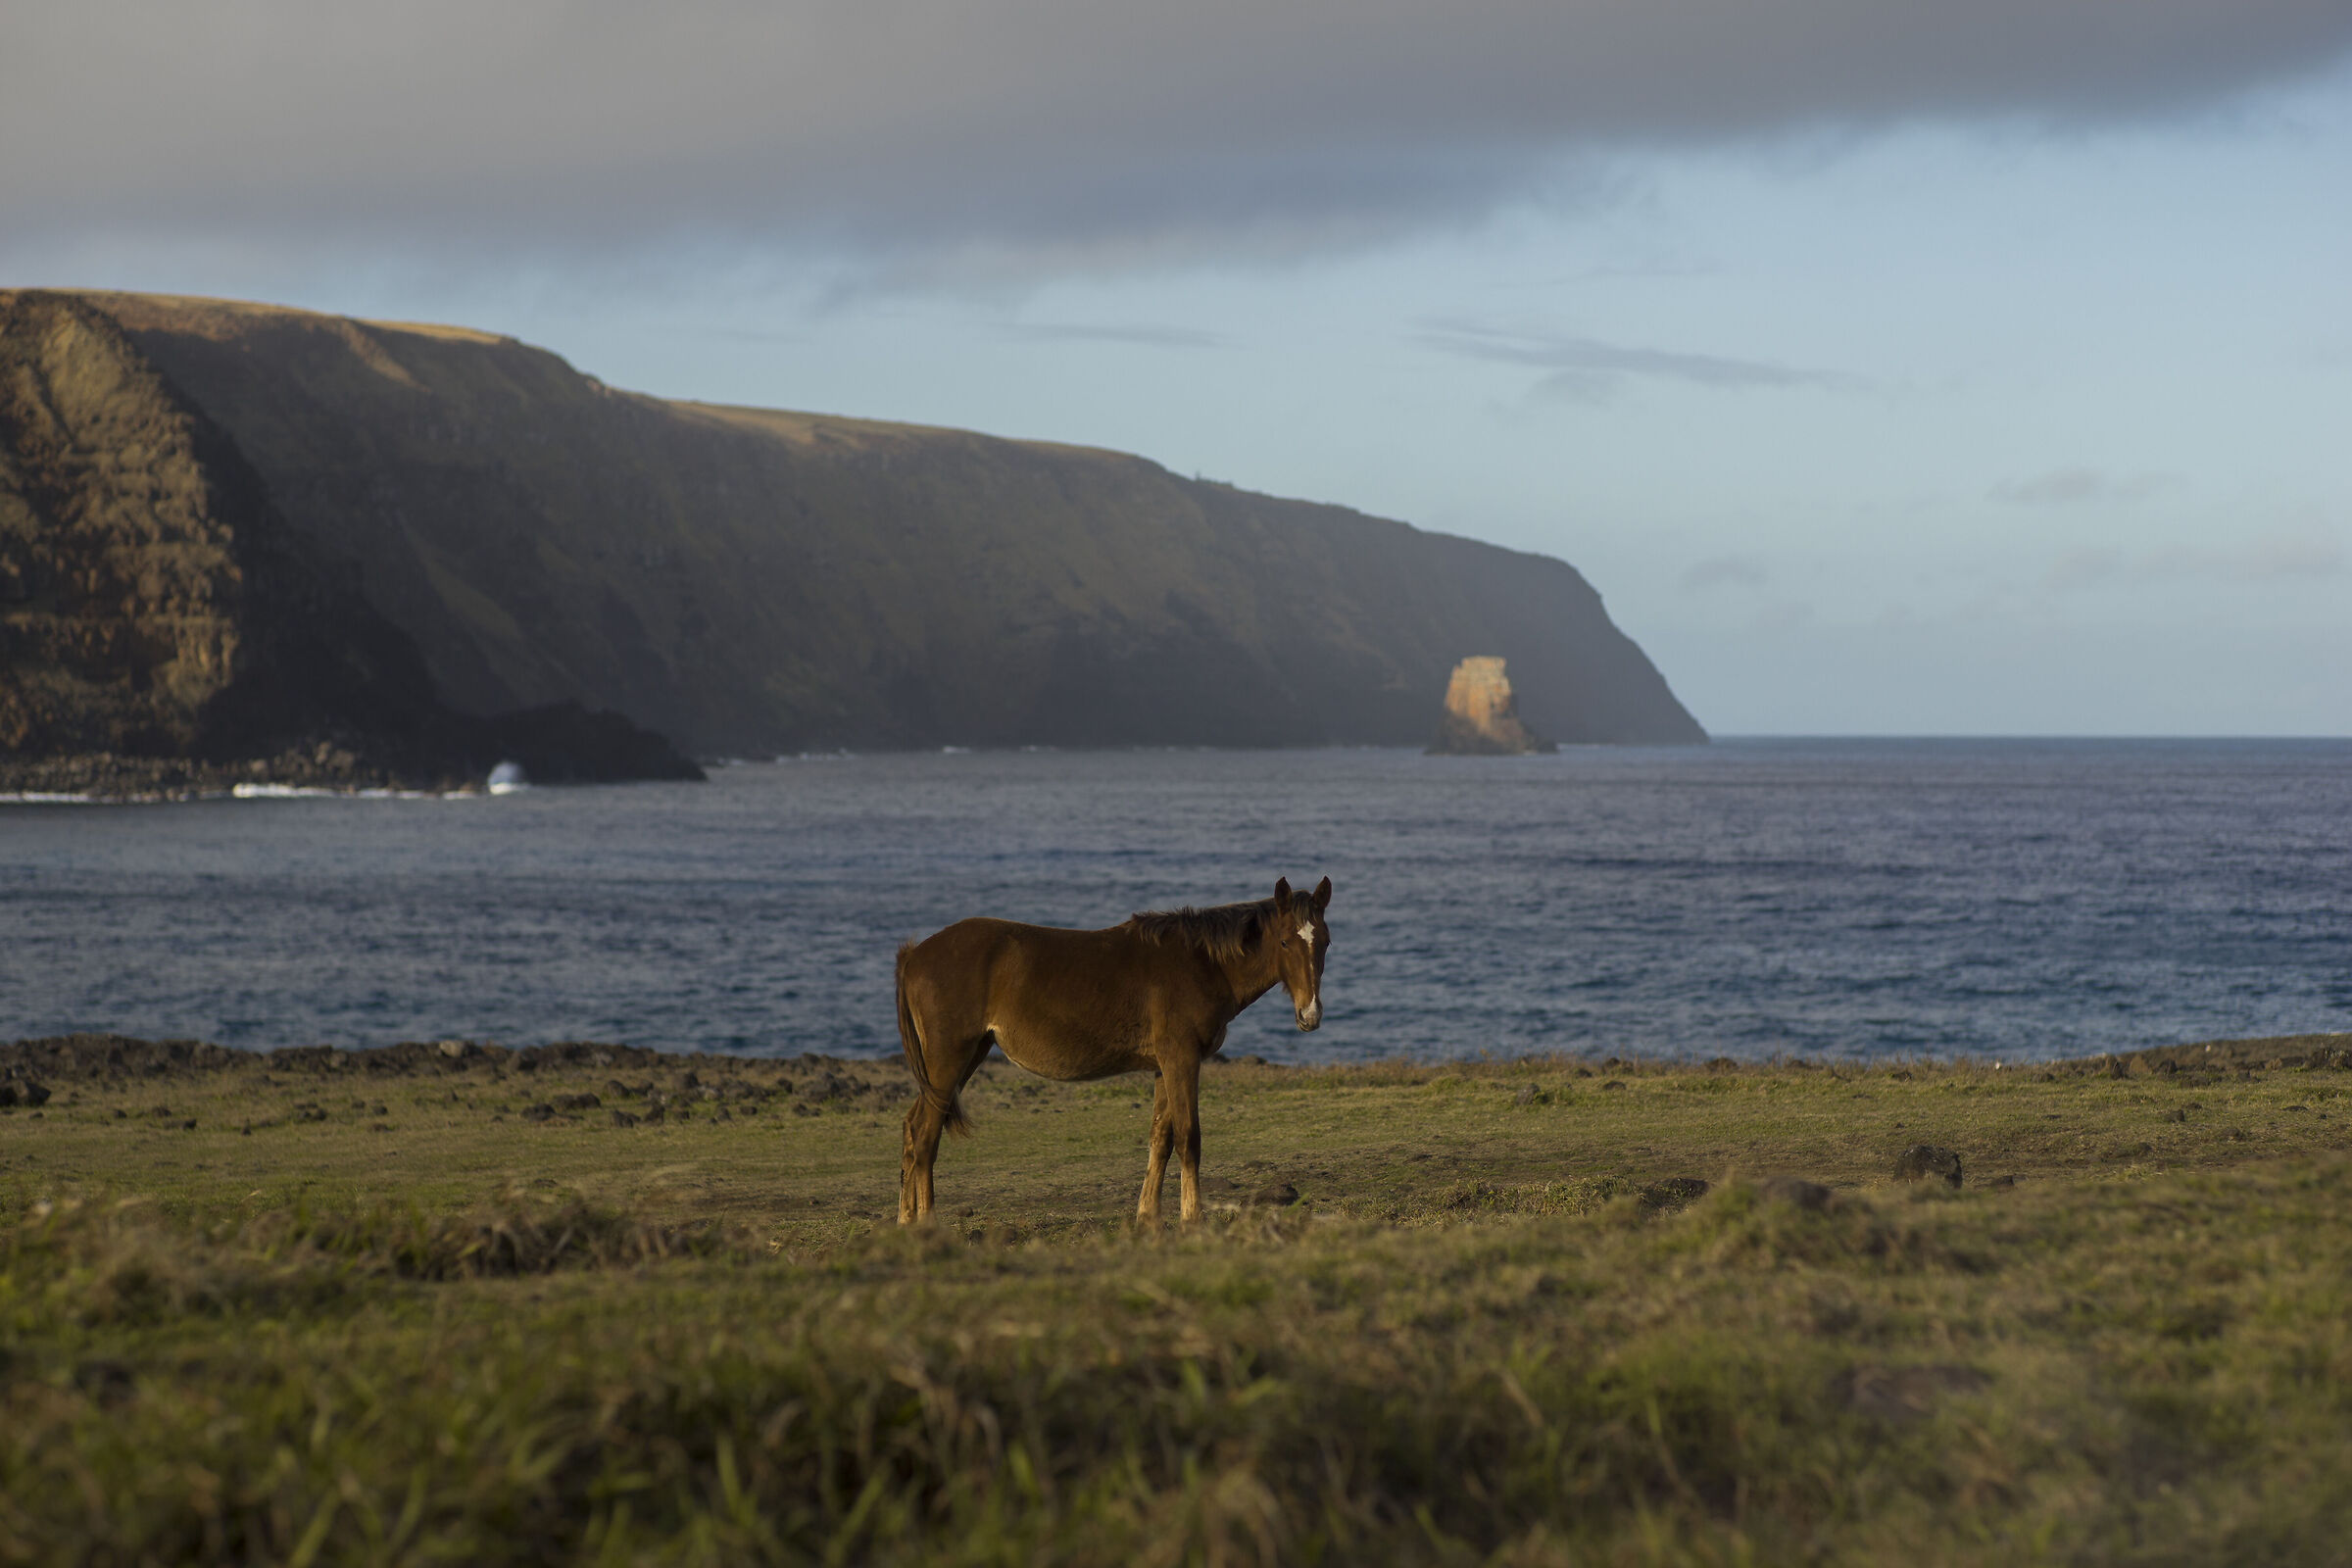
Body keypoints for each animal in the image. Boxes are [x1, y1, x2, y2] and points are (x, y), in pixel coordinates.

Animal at [894, 876, 1332, 1226]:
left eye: (1325, 942)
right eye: (1284, 940)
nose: (1310, 1015)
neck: (1202, 964)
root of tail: (914, 954)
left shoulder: (1163, 1066)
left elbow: (1161, 1139)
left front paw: (1148, 1218)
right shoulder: (1182, 1059)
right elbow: (1189, 1138)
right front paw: (1192, 1218)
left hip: (966, 1057)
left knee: (912, 1129)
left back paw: (905, 1222)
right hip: (950, 1058)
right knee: (926, 1134)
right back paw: (927, 1224)